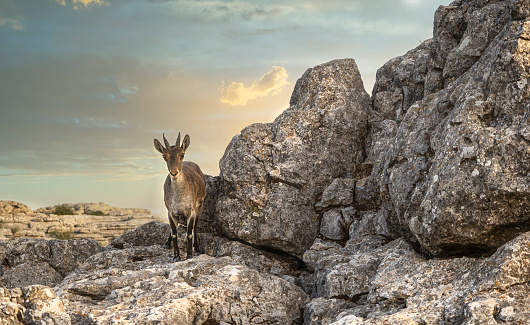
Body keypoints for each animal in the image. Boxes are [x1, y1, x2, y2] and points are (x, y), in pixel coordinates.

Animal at [153, 132, 204, 260]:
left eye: (182, 154)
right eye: (164, 156)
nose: (174, 173)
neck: (179, 198)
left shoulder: (191, 212)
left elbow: (189, 233)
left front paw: (189, 254)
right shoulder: (171, 212)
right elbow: (174, 233)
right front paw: (176, 256)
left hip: (200, 206)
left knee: (196, 227)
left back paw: (196, 248)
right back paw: (167, 243)